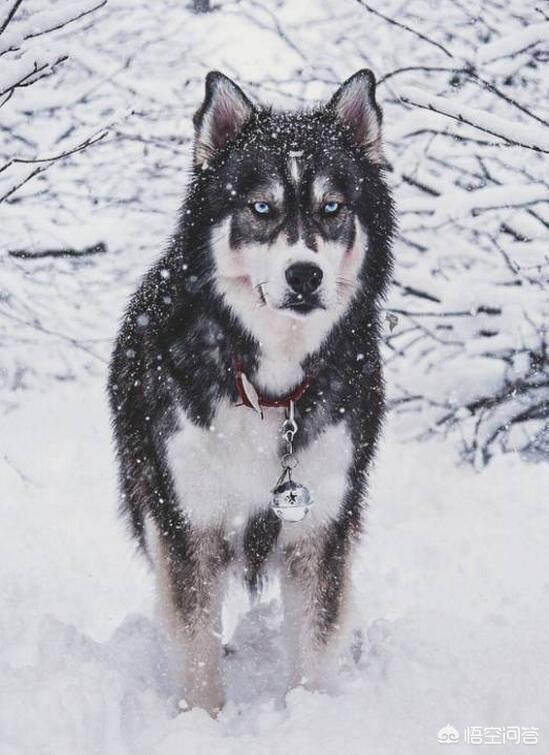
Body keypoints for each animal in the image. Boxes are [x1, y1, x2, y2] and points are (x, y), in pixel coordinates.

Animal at [108, 69, 394, 716]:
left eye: (333, 208)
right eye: (261, 207)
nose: (304, 274)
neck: (268, 386)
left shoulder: (321, 525)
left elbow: (314, 642)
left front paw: (309, 714)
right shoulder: (189, 521)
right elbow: (196, 644)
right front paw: (202, 721)